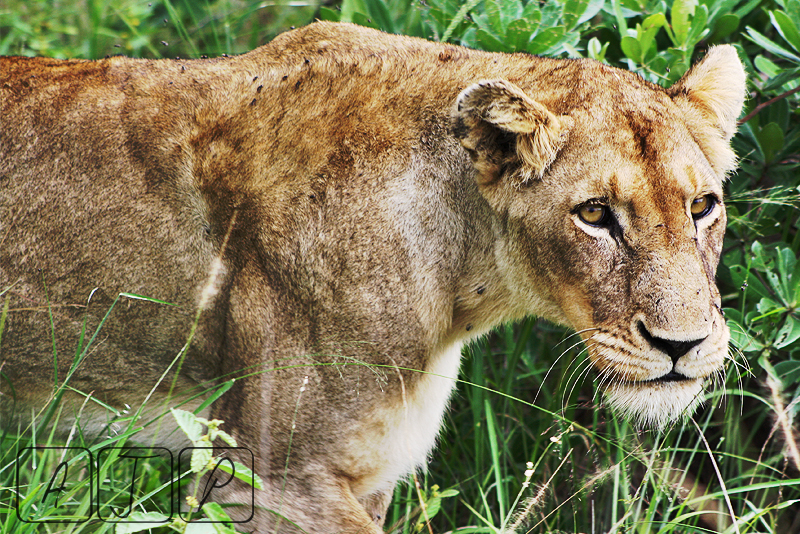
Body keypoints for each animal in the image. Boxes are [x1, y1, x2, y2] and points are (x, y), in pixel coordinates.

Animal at [0, 21, 745, 533]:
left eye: (701, 206)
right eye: (594, 214)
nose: (681, 346)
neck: (460, 274)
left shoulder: (370, 469)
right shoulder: (272, 475)